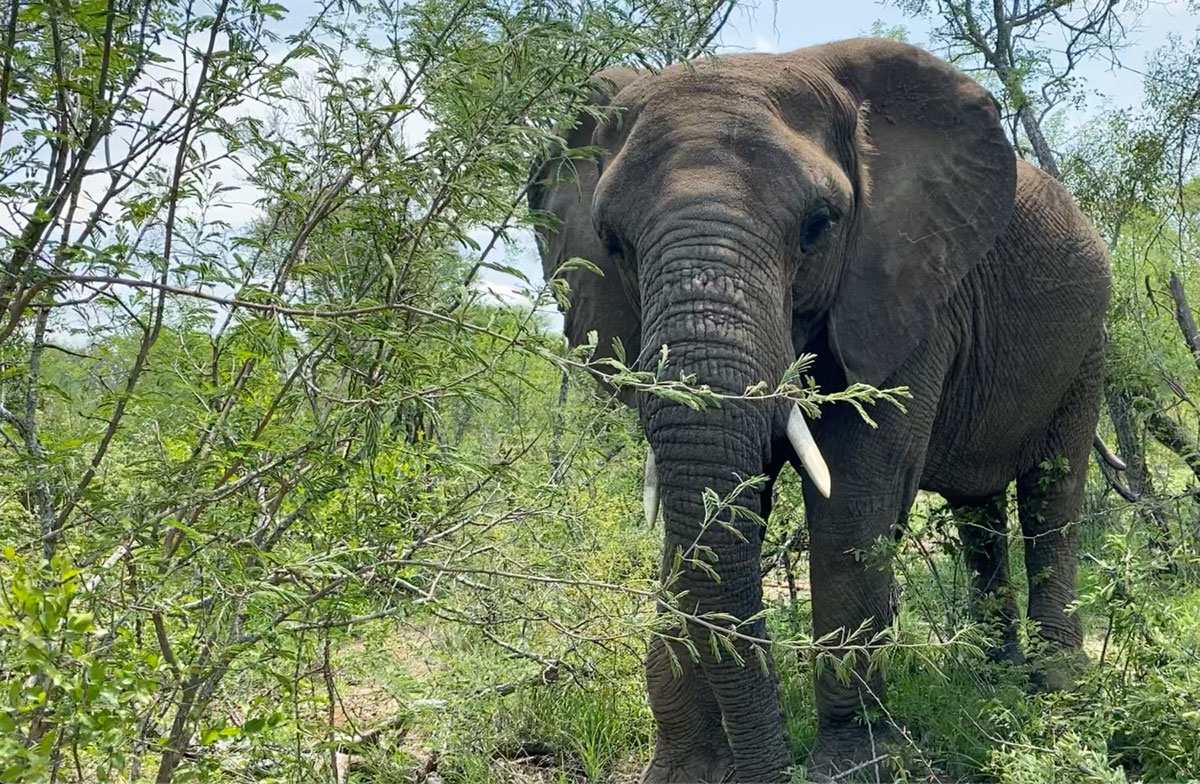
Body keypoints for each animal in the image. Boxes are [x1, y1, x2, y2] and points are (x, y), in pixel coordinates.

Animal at [528, 39, 1110, 782]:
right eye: (611, 242)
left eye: (817, 227)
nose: (768, 769)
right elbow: (698, 512)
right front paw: (685, 770)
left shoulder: (907, 291)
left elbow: (854, 497)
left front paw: (855, 765)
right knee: (977, 511)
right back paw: (993, 676)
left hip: (1089, 339)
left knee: (1052, 494)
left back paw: (1052, 686)